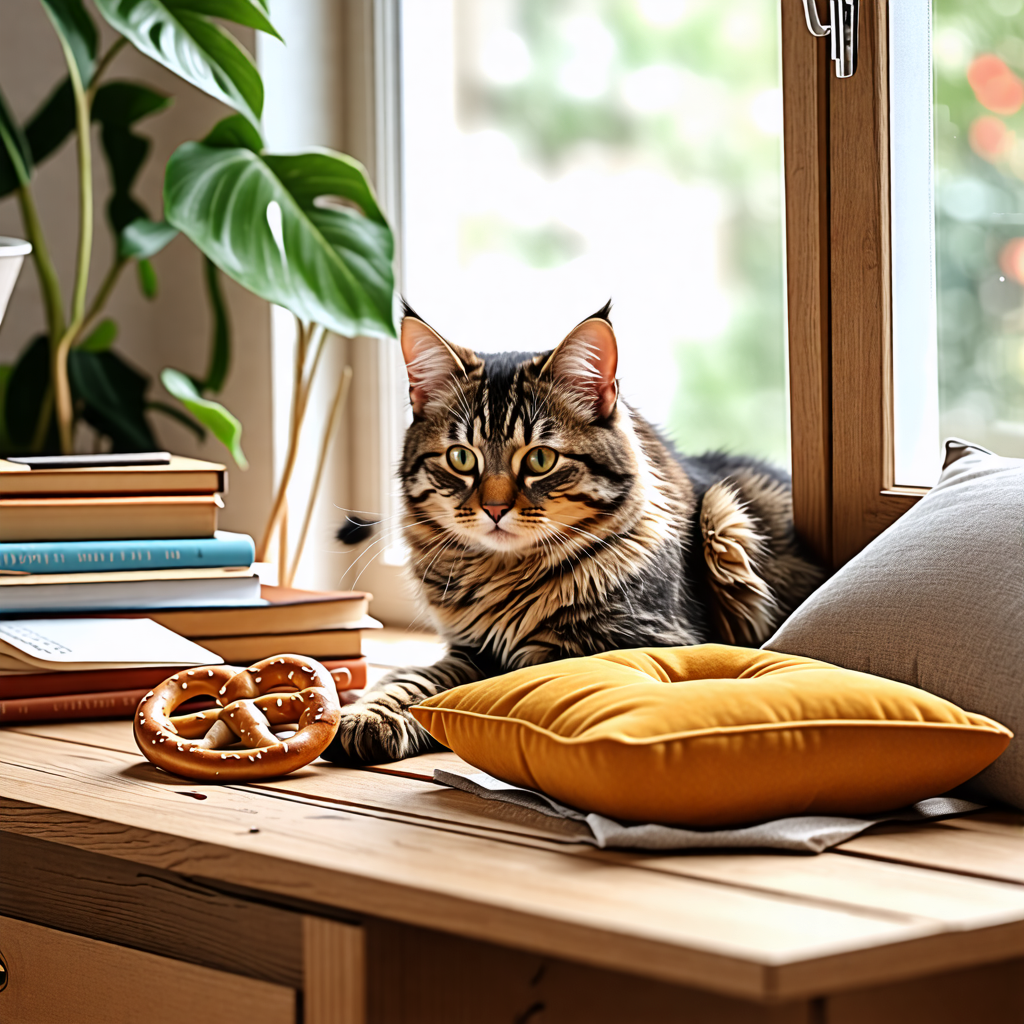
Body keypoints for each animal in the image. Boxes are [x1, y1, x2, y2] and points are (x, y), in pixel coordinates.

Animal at [323, 299, 827, 765]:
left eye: (540, 459)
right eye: (461, 458)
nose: (494, 508)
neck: (504, 575)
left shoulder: (640, 640)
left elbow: (499, 685)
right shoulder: (471, 648)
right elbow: (415, 681)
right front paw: (370, 716)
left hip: (724, 516)